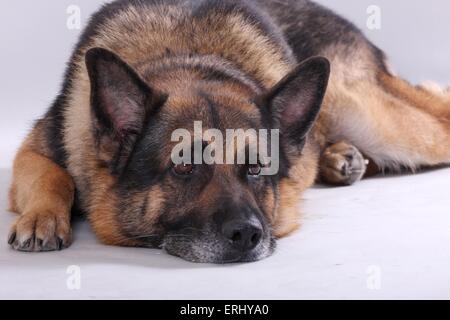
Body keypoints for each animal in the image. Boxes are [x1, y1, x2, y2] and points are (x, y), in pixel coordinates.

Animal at [7, 0, 450, 262]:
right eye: (183, 167)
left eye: (256, 169)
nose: (247, 235)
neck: (187, 56)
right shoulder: (35, 150)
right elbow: (53, 176)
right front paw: (42, 218)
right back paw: (339, 158)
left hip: (374, 119)